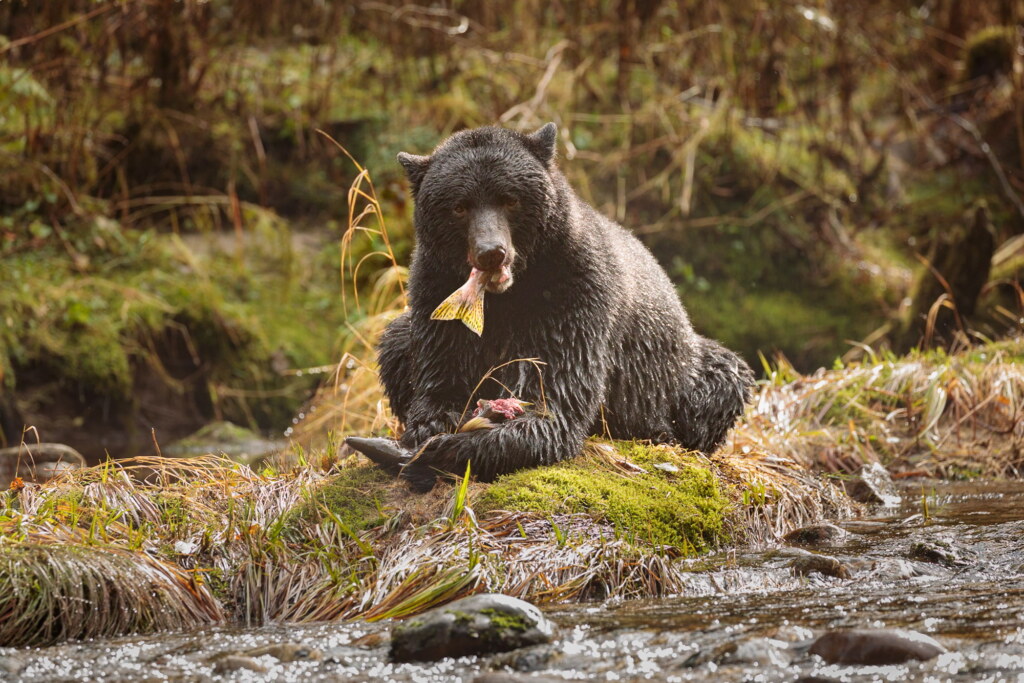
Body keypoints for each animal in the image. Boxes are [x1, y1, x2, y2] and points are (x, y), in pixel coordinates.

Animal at [377, 123, 754, 490]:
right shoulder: (435, 289)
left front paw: (448, 448)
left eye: (510, 199)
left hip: (682, 374)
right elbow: (439, 374)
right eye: (459, 206)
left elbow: (557, 400)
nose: (491, 252)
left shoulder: (576, 294)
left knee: (722, 379)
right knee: (395, 340)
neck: (509, 296)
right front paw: (428, 430)